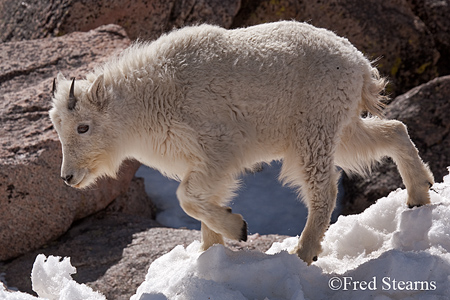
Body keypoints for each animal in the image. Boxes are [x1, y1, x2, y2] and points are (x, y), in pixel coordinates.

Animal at [51, 21, 434, 264]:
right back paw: (419, 192)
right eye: (58, 127)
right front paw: (210, 255)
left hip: (313, 128)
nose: (68, 177)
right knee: (394, 129)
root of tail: (361, 66)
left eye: (83, 127)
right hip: (340, 126)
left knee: (324, 189)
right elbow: (201, 202)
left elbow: (187, 198)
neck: (147, 99)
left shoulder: (217, 148)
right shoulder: (199, 161)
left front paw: (238, 228)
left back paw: (304, 252)